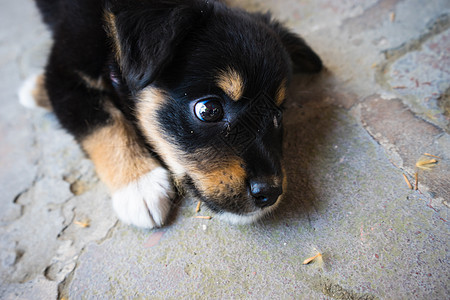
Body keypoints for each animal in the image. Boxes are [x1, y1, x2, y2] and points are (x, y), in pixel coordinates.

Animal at [21, 0, 322, 229]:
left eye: (278, 114)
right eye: (208, 110)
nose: (270, 193)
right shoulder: (64, 73)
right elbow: (102, 122)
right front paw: (138, 185)